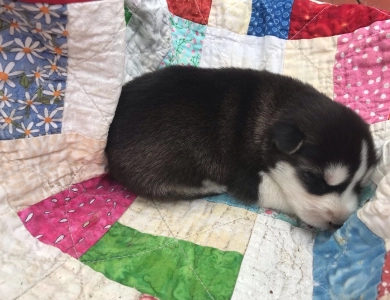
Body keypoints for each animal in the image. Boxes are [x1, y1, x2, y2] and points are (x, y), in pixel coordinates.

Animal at [106, 66, 378, 230]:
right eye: (315, 180)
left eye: (360, 186)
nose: (340, 223)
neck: (278, 109)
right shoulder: (244, 176)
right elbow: (281, 195)